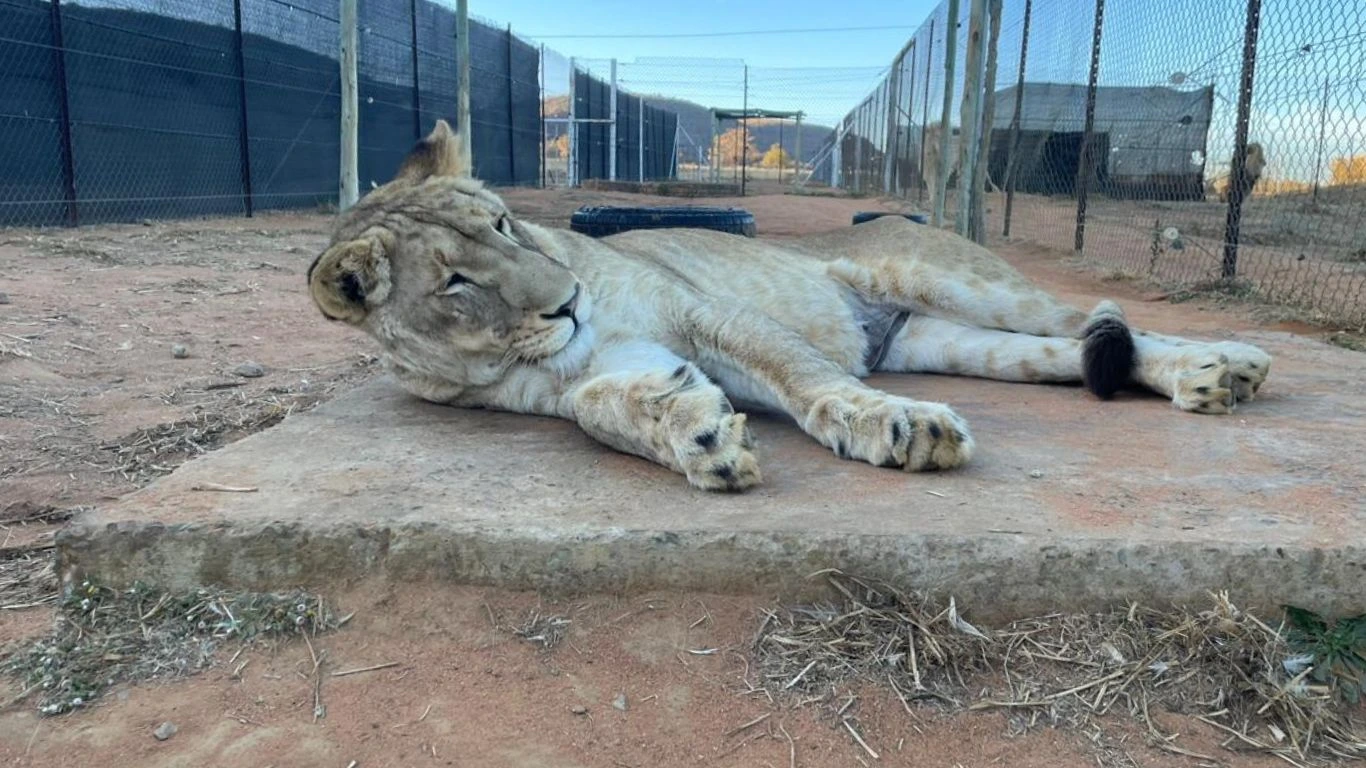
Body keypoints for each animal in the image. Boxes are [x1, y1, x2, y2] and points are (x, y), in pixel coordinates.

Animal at [307, 119, 1267, 489]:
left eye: (505, 224)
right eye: (455, 284)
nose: (569, 301)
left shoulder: (702, 312)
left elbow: (805, 378)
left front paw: (895, 427)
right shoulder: (585, 376)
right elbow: (601, 408)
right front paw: (695, 435)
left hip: (954, 282)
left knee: (1099, 315)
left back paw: (1232, 365)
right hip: (949, 341)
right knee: (1078, 353)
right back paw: (1206, 381)